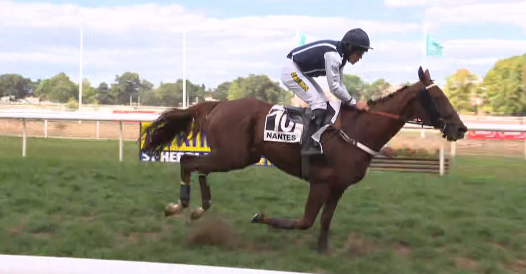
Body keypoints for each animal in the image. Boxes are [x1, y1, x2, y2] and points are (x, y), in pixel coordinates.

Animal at [142, 66, 468, 253]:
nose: (461, 128)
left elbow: (324, 221)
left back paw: (199, 209)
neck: (357, 130)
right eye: (438, 99)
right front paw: (262, 217)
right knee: (187, 161)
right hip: (232, 155)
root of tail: (219, 103)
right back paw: (180, 206)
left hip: (238, 155)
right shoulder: (320, 182)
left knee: (199, 167)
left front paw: (323, 250)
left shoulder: (338, 187)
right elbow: (305, 221)